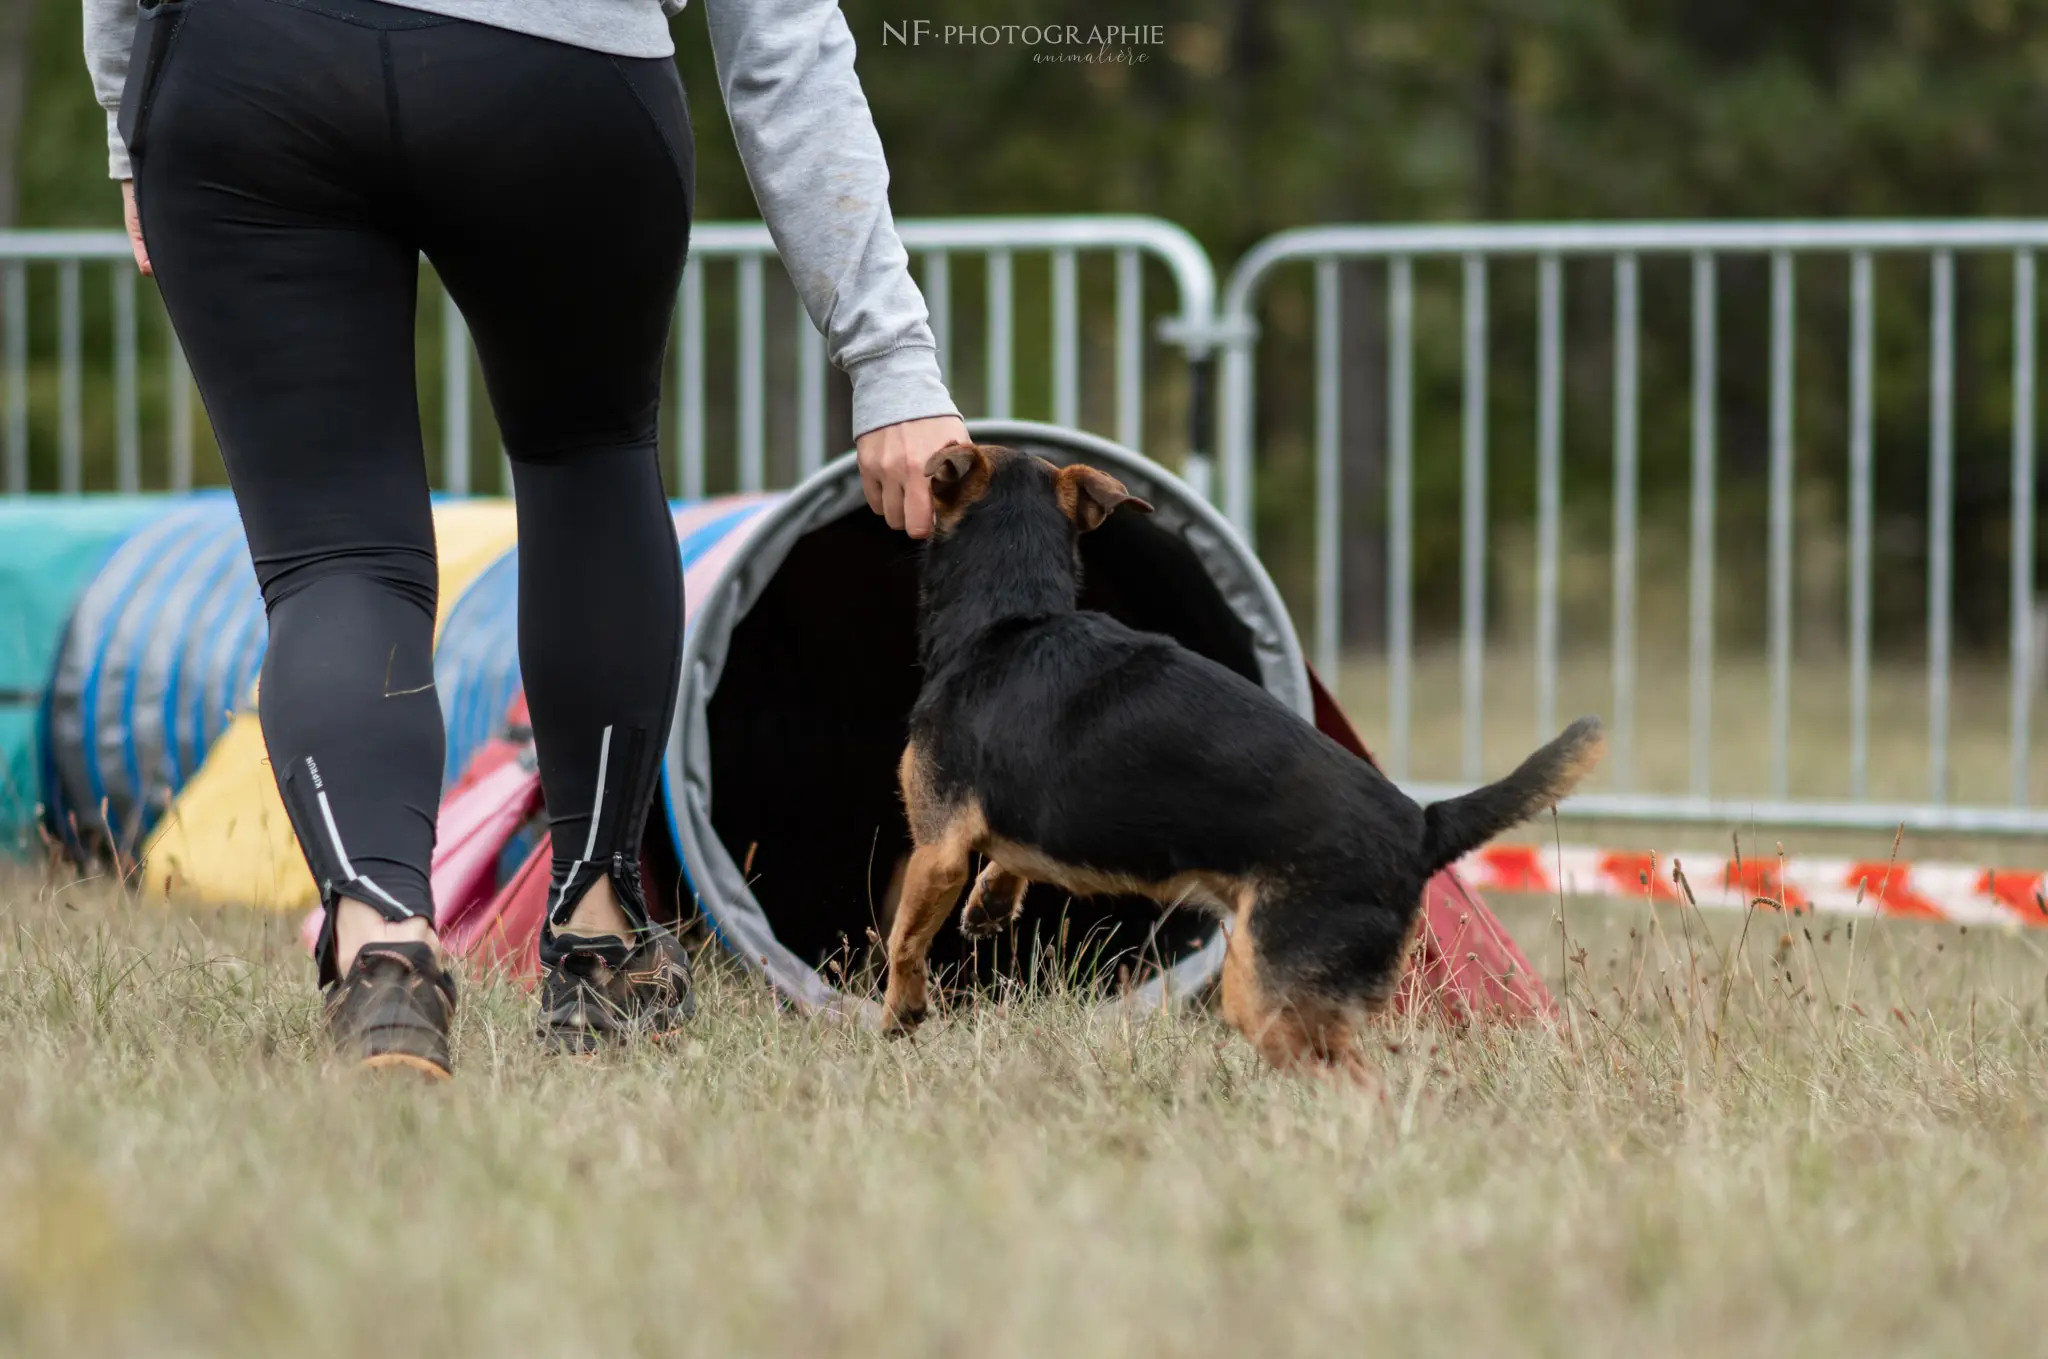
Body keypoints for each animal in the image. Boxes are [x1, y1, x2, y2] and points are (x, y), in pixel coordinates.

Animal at [888, 446, 1605, 1080]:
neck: (1013, 616)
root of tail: (1423, 826)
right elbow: (1007, 861)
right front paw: (987, 906)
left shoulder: (936, 849)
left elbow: (903, 939)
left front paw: (900, 1013)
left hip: (1266, 996)